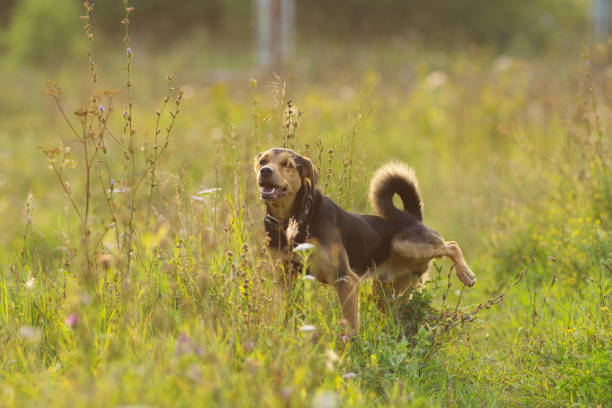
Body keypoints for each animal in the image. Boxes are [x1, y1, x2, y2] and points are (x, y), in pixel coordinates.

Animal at [256, 148, 476, 336]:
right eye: (262, 161)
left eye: (288, 165)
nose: (265, 171)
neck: (296, 218)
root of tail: (412, 216)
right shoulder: (286, 277)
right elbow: (290, 311)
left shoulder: (345, 279)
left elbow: (350, 323)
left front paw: (350, 347)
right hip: (388, 294)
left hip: (407, 243)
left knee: (451, 245)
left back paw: (466, 275)